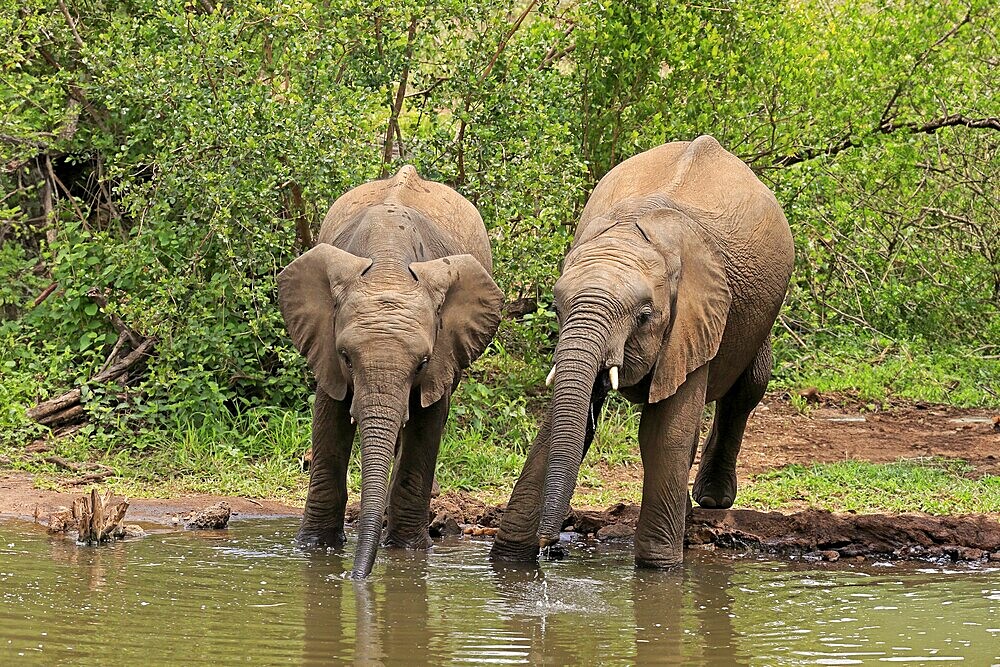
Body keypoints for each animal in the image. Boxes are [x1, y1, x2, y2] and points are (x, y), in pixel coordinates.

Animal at [280, 166, 500, 580]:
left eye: (422, 363)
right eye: (346, 358)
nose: (353, 577)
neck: (388, 266)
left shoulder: (443, 353)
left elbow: (428, 422)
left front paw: (407, 552)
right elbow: (329, 415)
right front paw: (314, 549)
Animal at [488, 136, 792, 568]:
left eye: (644, 316)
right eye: (558, 308)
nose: (553, 543)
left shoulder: (696, 318)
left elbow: (664, 433)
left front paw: (659, 568)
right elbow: (558, 429)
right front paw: (510, 559)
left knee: (748, 387)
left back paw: (713, 499)